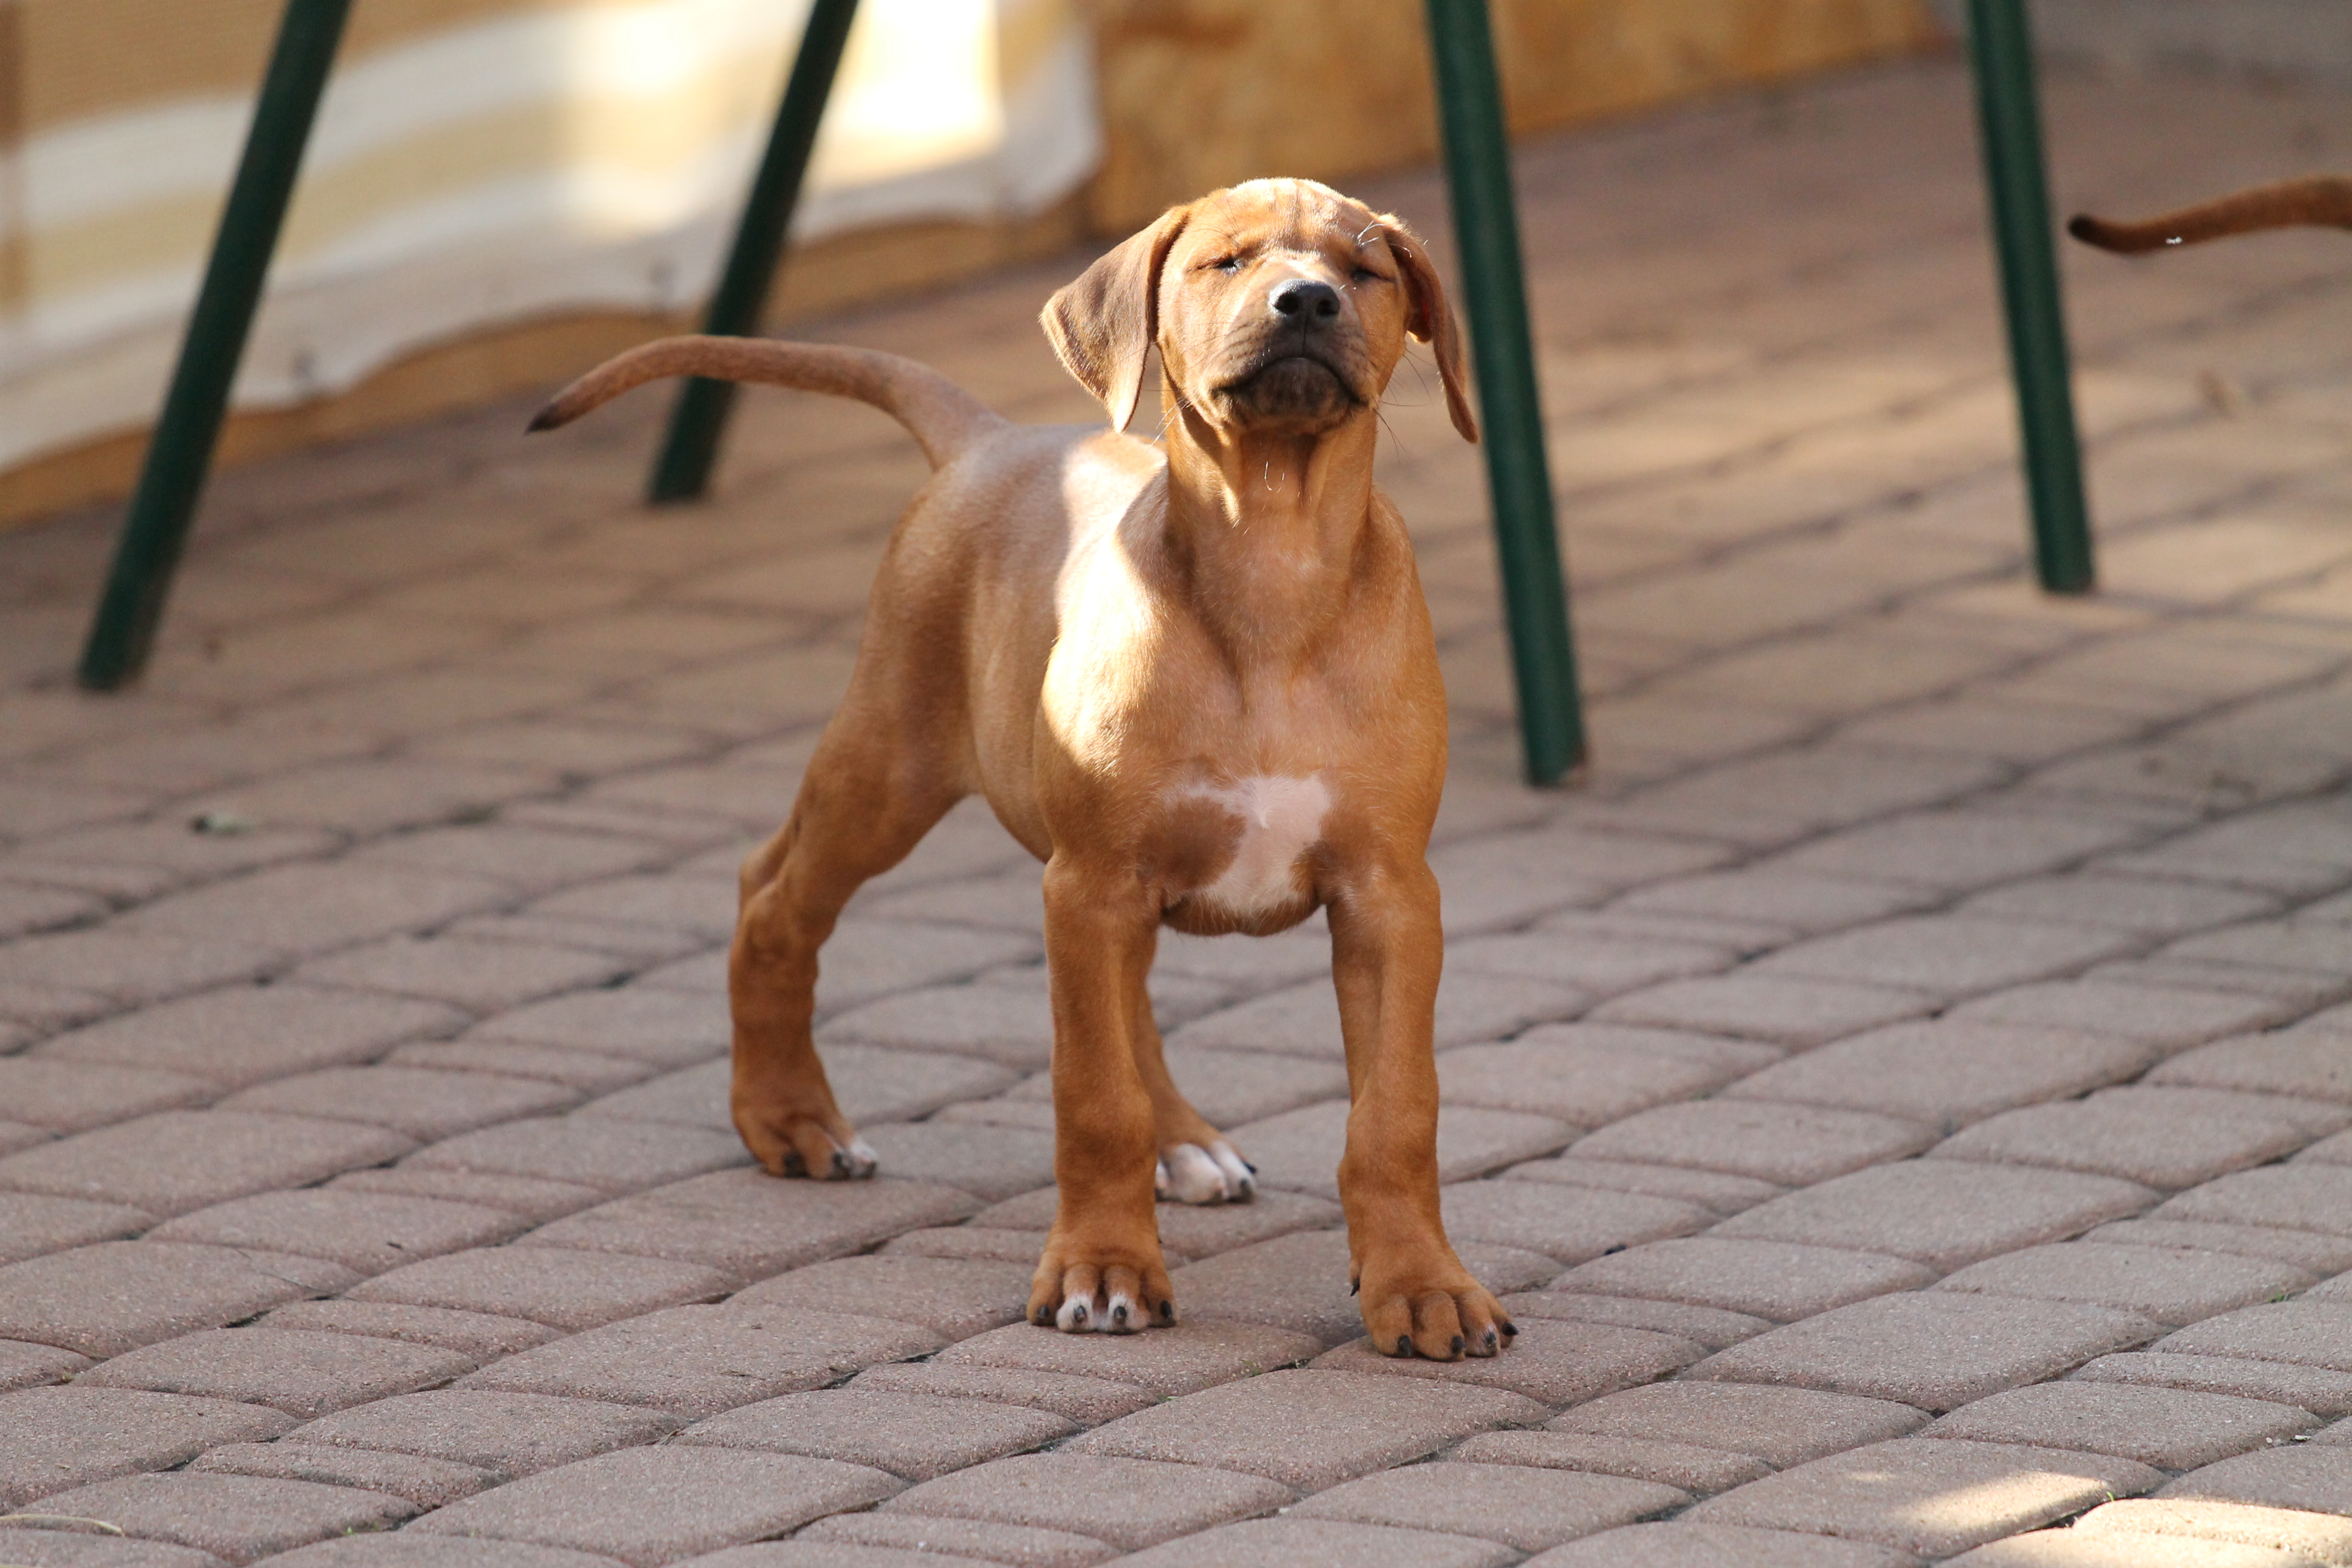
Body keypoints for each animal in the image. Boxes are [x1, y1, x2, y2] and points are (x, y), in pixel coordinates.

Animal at [531, 177, 1515, 1360]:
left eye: (1364, 271)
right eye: (1226, 263)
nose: (1307, 302)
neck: (1270, 562)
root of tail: (991, 441)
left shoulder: (1387, 897)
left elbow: (1395, 1111)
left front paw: (1420, 1282)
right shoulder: (1092, 880)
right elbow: (1090, 1093)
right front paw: (1104, 1267)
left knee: (1123, 1003)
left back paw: (1183, 1141)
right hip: (896, 765)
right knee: (772, 896)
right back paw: (789, 1116)